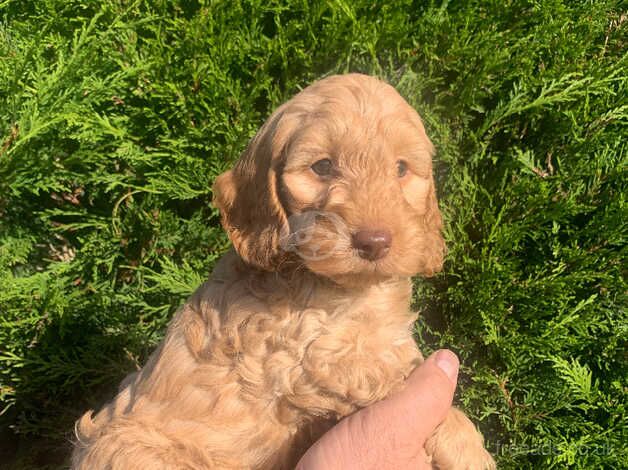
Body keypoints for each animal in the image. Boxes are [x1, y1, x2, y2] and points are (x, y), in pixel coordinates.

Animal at [72, 73, 496, 470]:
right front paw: (467, 446)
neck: (346, 289)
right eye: (323, 166)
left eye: (401, 169)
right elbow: (391, 376)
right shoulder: (301, 357)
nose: (374, 242)